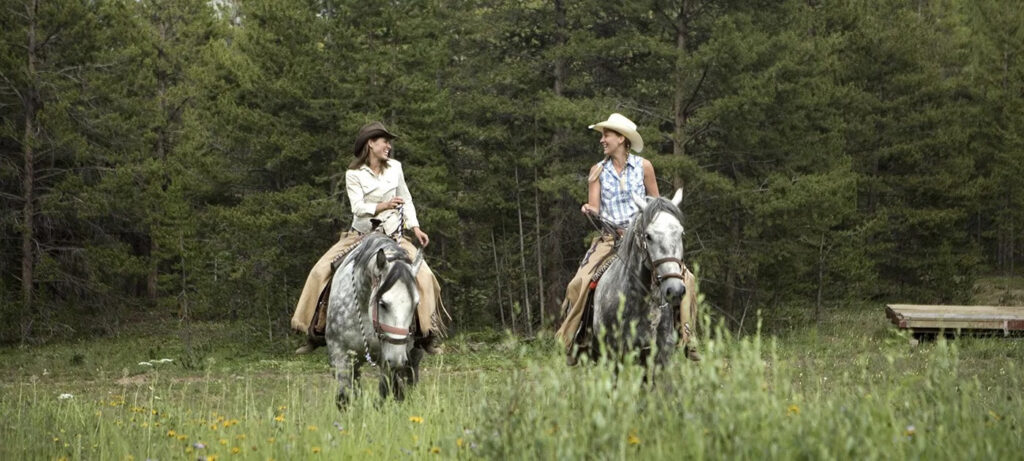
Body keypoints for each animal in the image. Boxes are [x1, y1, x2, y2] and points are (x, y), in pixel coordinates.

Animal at [327, 232, 423, 409]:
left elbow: (385, 394)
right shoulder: (340, 355)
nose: (397, 360)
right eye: (382, 303)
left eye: (416, 304)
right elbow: (344, 398)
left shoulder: (388, 361)